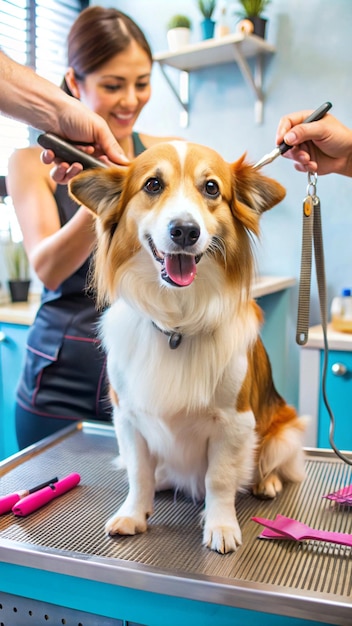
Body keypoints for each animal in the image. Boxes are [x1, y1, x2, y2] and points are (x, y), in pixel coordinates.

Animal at [69, 141, 306, 552]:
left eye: (211, 188)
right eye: (152, 184)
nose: (184, 230)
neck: (177, 323)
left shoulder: (234, 422)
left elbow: (219, 479)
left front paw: (221, 526)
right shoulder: (128, 417)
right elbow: (139, 473)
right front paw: (133, 513)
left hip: (284, 429)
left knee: (272, 460)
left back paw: (266, 482)